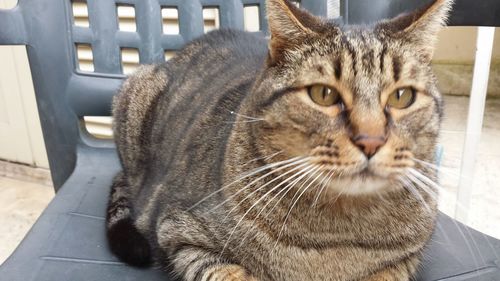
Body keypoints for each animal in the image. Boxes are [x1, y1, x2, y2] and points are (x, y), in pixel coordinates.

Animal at [106, 0, 454, 278]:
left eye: (402, 97)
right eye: (324, 94)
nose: (370, 140)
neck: (337, 234)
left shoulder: (405, 260)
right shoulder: (180, 232)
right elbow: (230, 274)